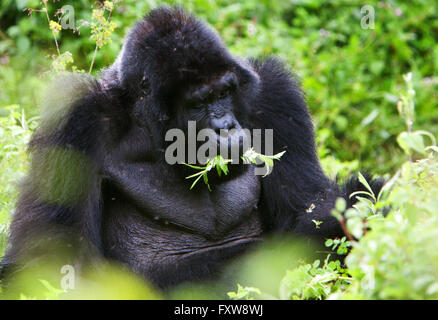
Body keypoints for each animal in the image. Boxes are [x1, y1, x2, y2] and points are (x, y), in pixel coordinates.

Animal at [0, 6, 384, 288]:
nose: (226, 128)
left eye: (225, 92)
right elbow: (52, 260)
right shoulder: (76, 120)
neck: (149, 127)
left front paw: (362, 213)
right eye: (199, 103)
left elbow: (307, 214)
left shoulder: (274, 95)